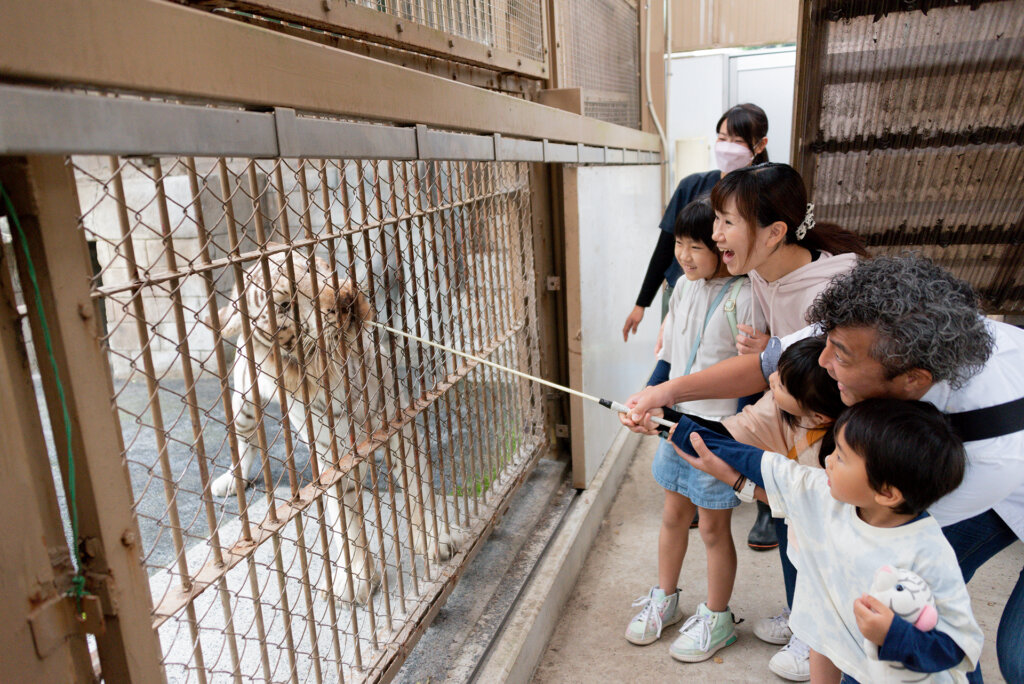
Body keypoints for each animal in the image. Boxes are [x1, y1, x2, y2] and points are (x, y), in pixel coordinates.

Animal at [207, 246, 456, 602]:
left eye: (316, 268)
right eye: (284, 305)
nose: (343, 300)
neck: (337, 366)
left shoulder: (397, 423)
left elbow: (417, 487)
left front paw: (437, 542)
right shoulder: (334, 457)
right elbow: (348, 522)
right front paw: (356, 580)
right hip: (243, 404)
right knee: (246, 440)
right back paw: (231, 481)